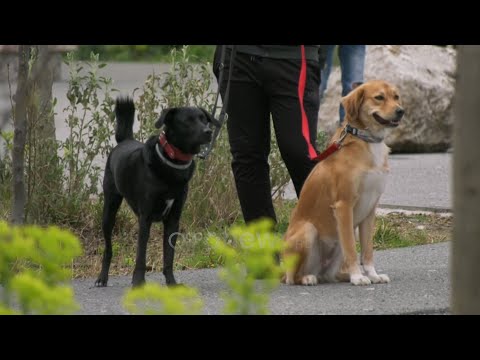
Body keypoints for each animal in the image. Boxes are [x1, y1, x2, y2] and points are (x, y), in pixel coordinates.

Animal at [94, 97, 218, 288]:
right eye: (188, 121)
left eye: (204, 119)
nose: (208, 131)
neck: (172, 160)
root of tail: (125, 140)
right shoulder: (145, 218)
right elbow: (141, 256)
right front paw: (138, 282)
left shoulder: (173, 220)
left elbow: (169, 256)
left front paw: (171, 283)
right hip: (109, 211)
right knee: (108, 248)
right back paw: (102, 277)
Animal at [284, 80, 404, 286]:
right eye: (379, 97)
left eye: (396, 97)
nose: (401, 111)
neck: (368, 141)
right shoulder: (344, 206)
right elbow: (351, 249)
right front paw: (357, 276)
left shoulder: (370, 209)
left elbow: (367, 250)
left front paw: (372, 274)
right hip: (308, 231)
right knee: (293, 277)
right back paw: (308, 278)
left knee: (329, 274)